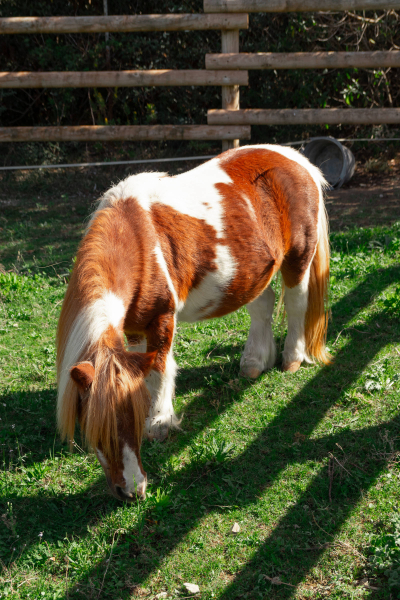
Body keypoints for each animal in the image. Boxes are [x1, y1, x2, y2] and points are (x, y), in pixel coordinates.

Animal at [57, 145, 332, 502]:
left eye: (132, 422)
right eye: (97, 430)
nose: (131, 490)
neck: (139, 241)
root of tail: (298, 161)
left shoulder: (161, 318)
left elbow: (160, 370)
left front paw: (160, 421)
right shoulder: (134, 328)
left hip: (298, 258)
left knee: (297, 303)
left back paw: (292, 359)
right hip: (255, 271)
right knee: (263, 305)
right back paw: (254, 363)